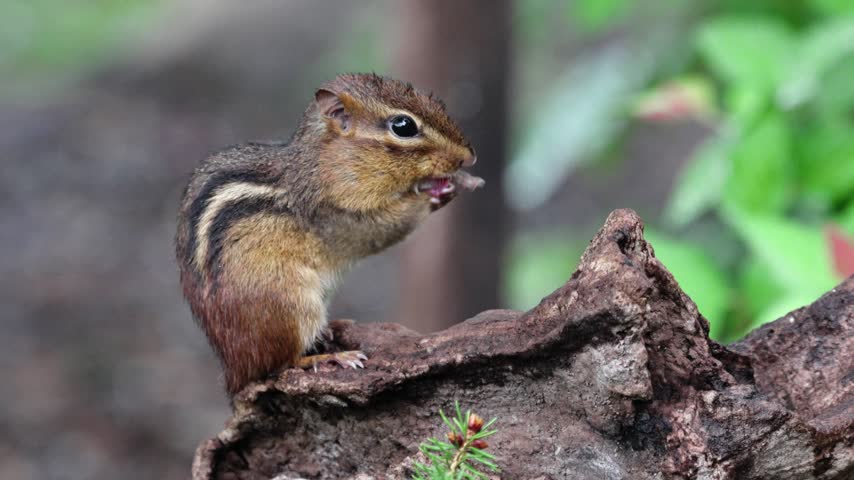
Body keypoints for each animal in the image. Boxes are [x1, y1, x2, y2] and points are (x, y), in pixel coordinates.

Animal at [175, 73, 484, 396]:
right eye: (403, 126)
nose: (469, 157)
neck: (322, 163)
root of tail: (235, 372)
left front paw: (463, 181)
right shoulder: (338, 216)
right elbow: (385, 227)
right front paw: (436, 191)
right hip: (290, 304)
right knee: (282, 364)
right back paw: (330, 356)